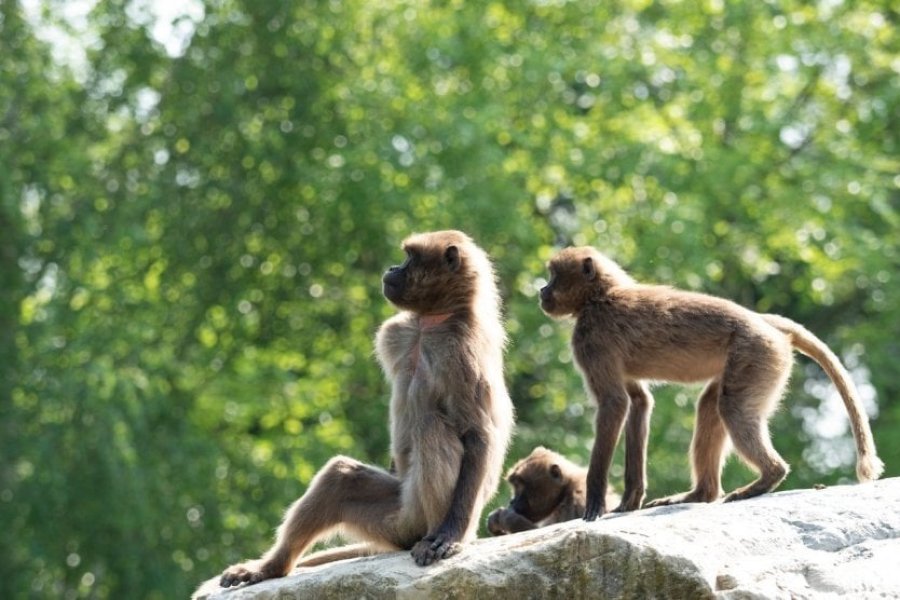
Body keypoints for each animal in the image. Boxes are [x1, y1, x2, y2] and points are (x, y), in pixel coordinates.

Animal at [216, 230, 512, 584]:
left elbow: (479, 433)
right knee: (340, 477)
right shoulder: (397, 332)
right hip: (393, 515)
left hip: (415, 517)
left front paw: (450, 535)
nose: (392, 269)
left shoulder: (462, 352)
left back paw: (436, 534)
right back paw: (270, 568)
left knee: (430, 427)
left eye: (411, 258)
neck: (431, 323)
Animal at [486, 446, 620, 536]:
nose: (512, 501)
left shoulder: (579, 501)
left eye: (520, 486)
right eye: (515, 485)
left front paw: (505, 517)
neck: (564, 492)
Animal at [536, 246, 884, 524]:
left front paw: (594, 504)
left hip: (757, 354)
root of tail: (763, 322)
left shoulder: (591, 339)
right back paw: (701, 494)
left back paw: (767, 477)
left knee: (731, 408)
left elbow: (614, 403)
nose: (541, 290)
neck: (600, 295)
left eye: (553, 276)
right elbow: (638, 401)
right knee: (711, 406)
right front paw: (628, 502)